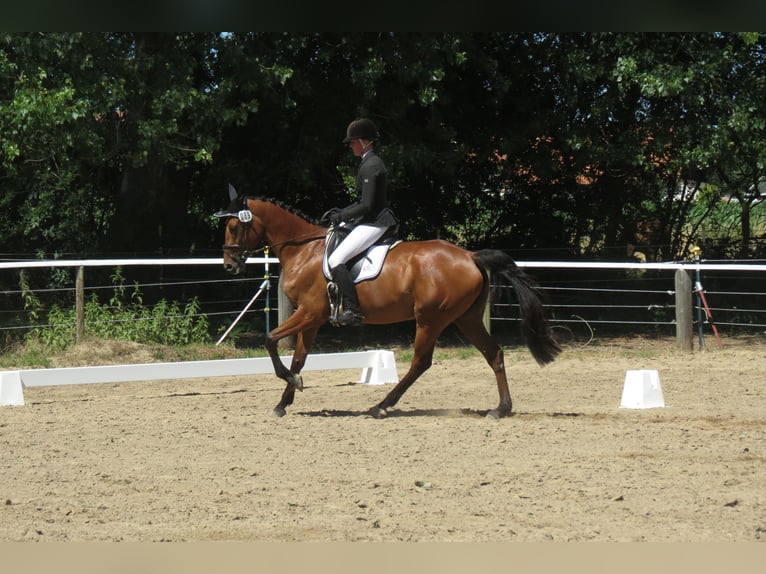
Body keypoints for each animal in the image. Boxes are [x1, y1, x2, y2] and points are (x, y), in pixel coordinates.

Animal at [213, 196, 560, 420]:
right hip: (467, 318)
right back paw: (501, 409)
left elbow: (270, 340)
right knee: (494, 353)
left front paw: (291, 384)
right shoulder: (310, 320)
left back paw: (381, 405)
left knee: (421, 362)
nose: (229, 265)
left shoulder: (309, 313)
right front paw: (284, 401)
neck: (304, 250)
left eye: (234, 227)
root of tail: (470, 255)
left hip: (430, 319)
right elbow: (298, 358)